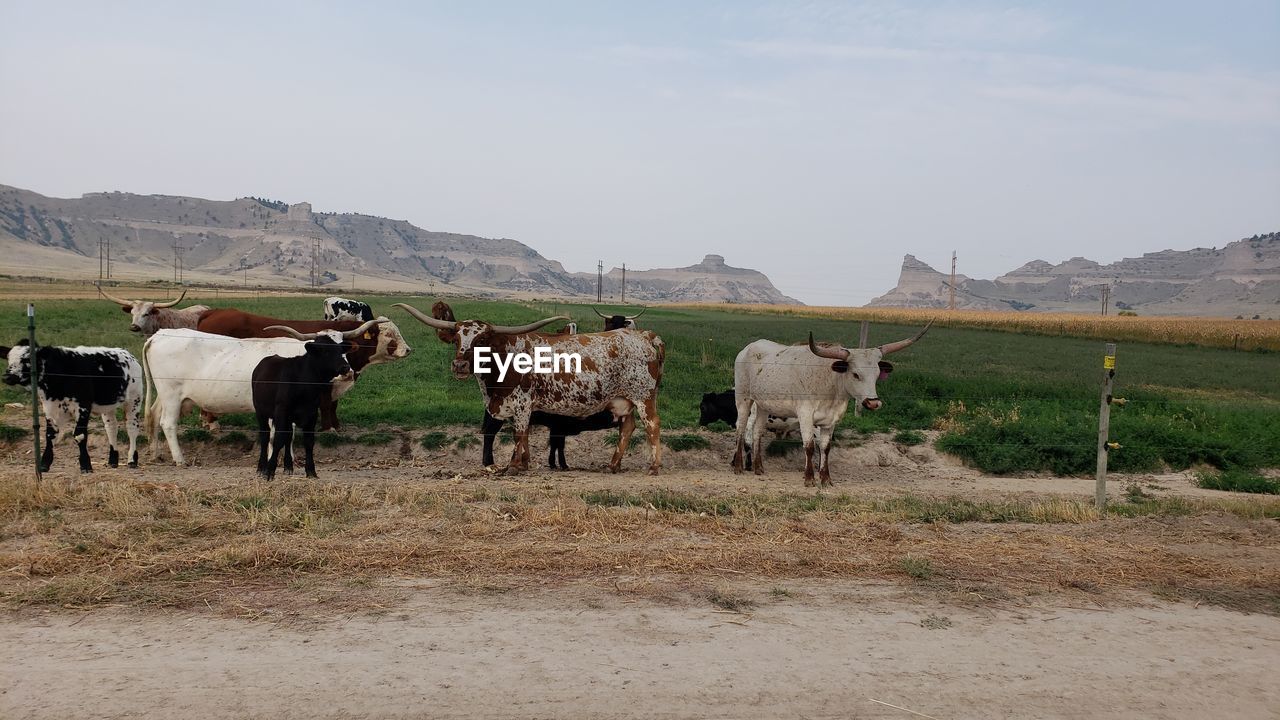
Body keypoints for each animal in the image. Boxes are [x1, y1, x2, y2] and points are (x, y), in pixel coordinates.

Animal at [2, 338, 142, 471]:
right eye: (8, 358)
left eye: (26, 359)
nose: (6, 377)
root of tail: (128, 354)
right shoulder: (49, 407)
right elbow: (50, 434)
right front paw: (45, 463)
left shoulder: (83, 407)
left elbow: (80, 435)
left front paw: (85, 465)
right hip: (108, 406)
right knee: (111, 428)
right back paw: (112, 460)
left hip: (134, 401)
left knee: (132, 428)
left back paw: (132, 460)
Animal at [193, 307, 409, 425]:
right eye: (389, 334)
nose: (408, 349)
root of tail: (214, 311)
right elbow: (328, 405)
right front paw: (330, 429)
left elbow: (333, 405)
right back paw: (211, 423)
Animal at [249, 325, 355, 476]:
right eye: (325, 351)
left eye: (341, 350)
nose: (345, 367)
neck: (303, 381)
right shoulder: (281, 411)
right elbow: (278, 439)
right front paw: (270, 470)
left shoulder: (311, 413)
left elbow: (308, 441)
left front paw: (311, 470)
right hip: (261, 412)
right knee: (265, 436)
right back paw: (261, 467)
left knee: (288, 437)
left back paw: (288, 466)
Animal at [737, 320, 936, 484]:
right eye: (855, 374)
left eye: (877, 374)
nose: (873, 403)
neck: (830, 383)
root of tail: (748, 348)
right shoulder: (805, 415)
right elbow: (809, 446)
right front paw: (809, 479)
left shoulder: (830, 420)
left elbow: (825, 448)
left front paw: (826, 479)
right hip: (744, 399)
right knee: (741, 428)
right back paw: (738, 465)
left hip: (763, 405)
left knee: (757, 432)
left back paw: (758, 468)